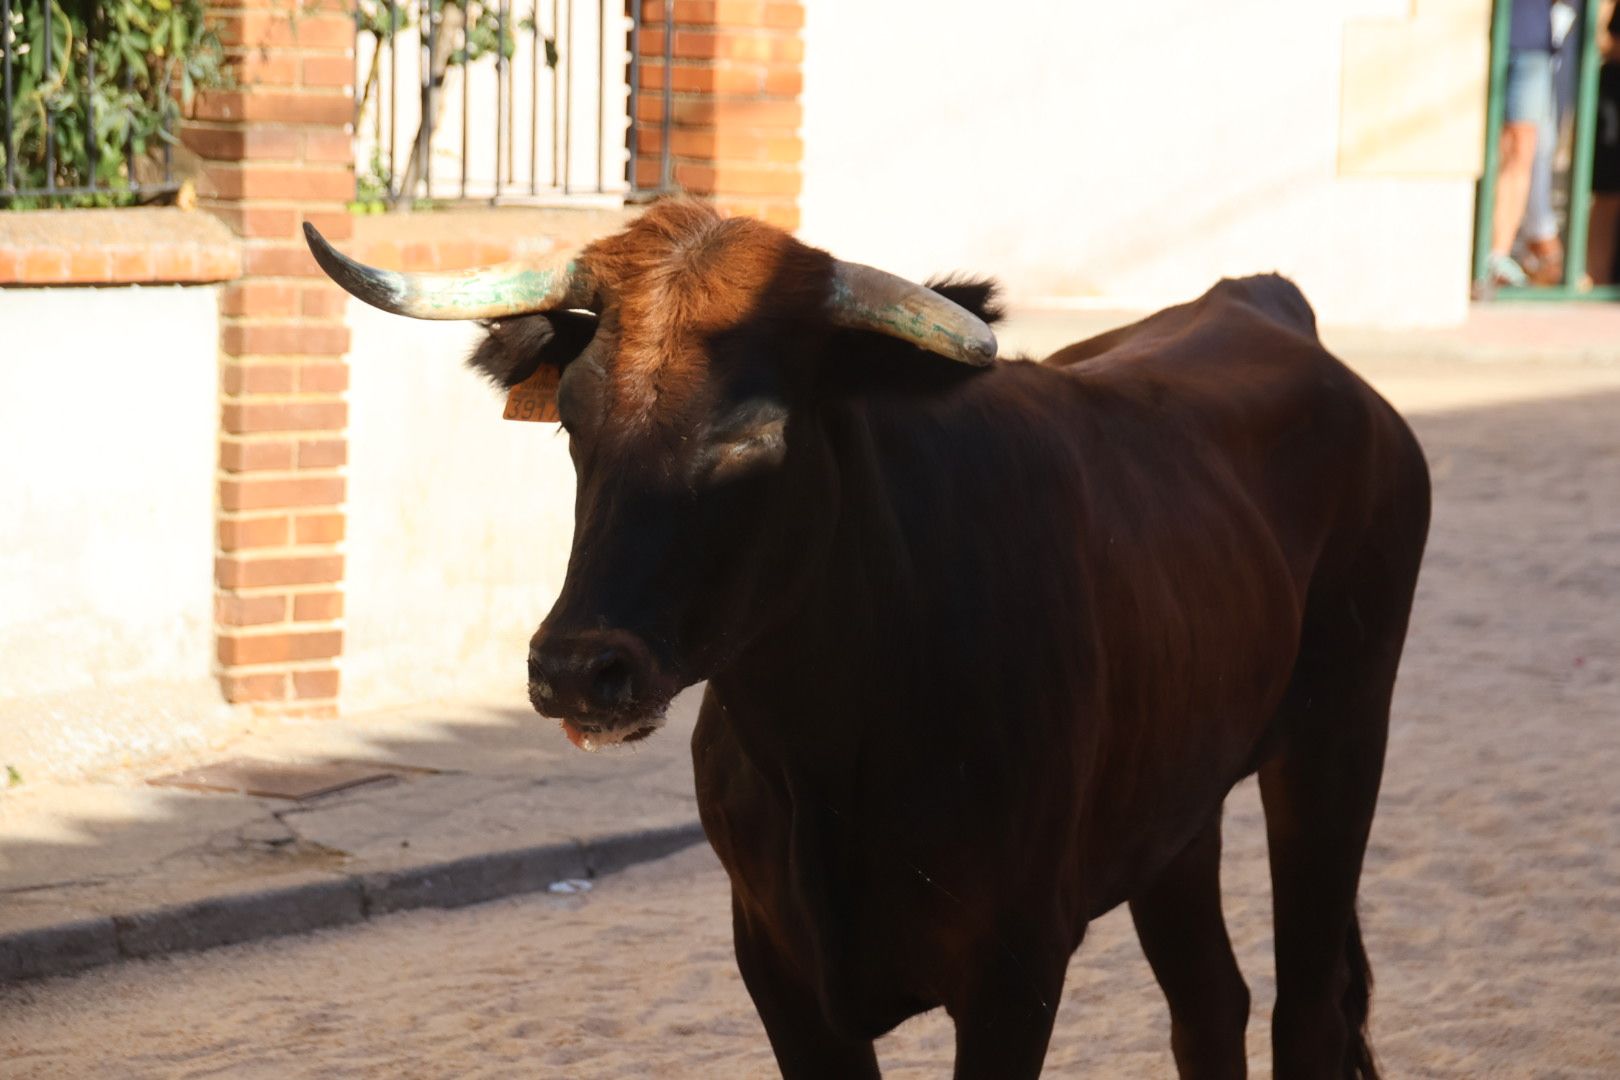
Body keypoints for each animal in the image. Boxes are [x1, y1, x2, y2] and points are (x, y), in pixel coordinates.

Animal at [306, 198, 1432, 1075]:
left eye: (756, 434)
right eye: (574, 424)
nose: (580, 670)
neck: (835, 745)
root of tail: (1257, 299)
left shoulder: (1017, 967)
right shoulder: (779, 967)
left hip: (1338, 744)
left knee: (1306, 1013)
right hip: (1177, 808)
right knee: (1212, 1008)